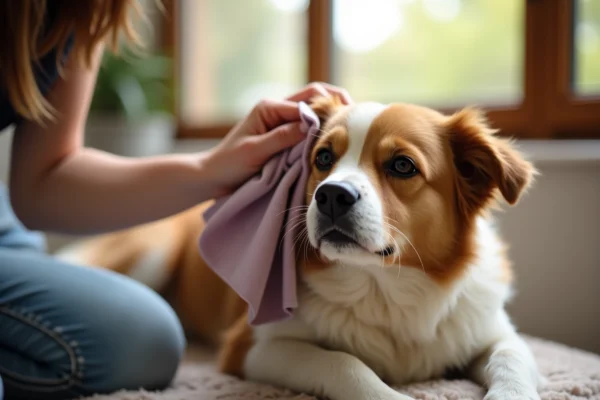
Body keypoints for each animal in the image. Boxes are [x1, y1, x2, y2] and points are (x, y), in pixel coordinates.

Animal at [57, 97, 544, 400]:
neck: (384, 288)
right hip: (152, 252)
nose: (331, 196)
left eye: (402, 165)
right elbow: (343, 363)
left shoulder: (492, 331)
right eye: (324, 158)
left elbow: (513, 359)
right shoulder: (253, 347)